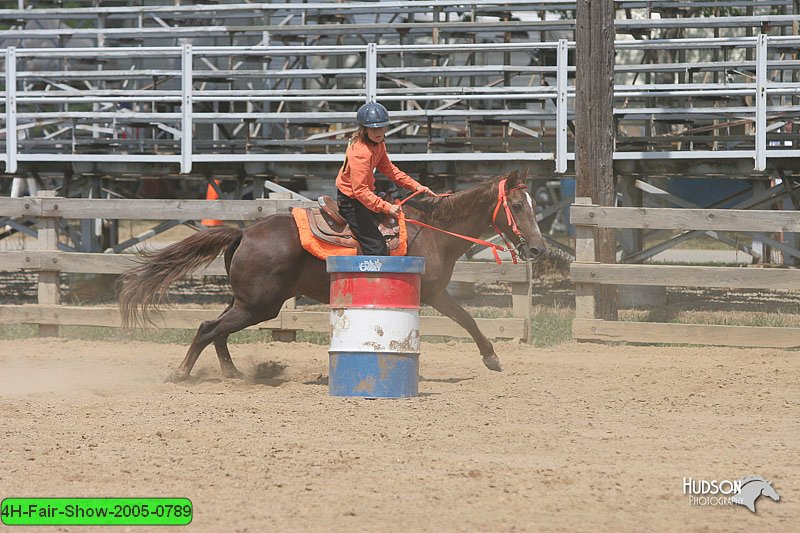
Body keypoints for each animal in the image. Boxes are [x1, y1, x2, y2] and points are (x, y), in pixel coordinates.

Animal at [117, 168, 544, 380]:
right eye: (518, 205)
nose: (538, 249)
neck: (435, 231)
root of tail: (244, 232)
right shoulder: (435, 293)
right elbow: (467, 319)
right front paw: (492, 359)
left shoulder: (435, 294)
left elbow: (466, 318)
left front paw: (492, 358)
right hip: (259, 305)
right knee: (209, 328)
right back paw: (182, 373)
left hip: (246, 302)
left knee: (217, 329)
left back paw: (233, 372)